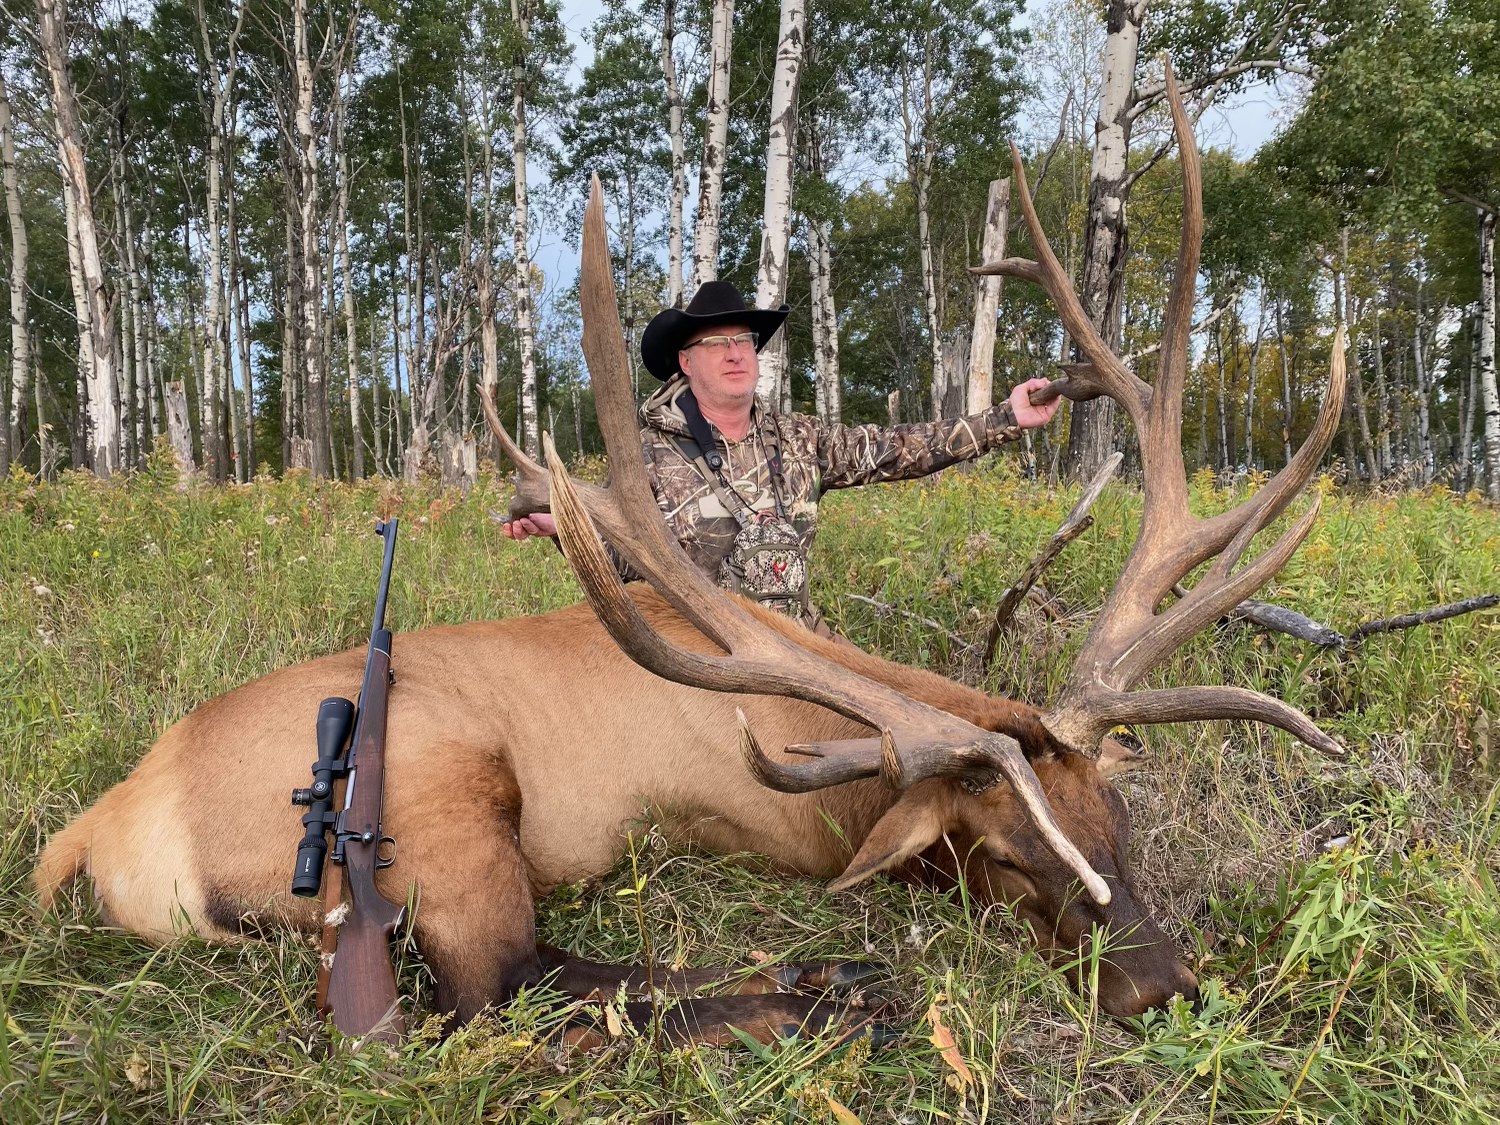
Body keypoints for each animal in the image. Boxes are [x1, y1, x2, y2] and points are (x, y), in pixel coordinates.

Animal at [34, 69, 1345, 1045]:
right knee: (500, 994)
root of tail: (93, 833)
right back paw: (815, 1000)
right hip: (437, 800)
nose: (1165, 986)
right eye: (1012, 858)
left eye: (1116, 822)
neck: (840, 767)